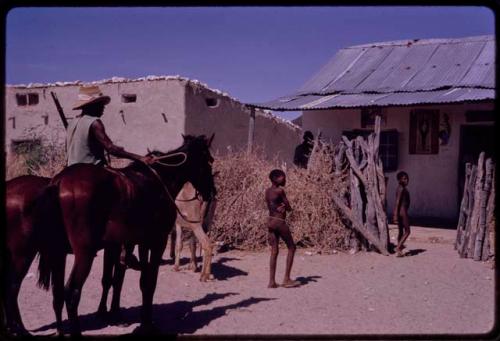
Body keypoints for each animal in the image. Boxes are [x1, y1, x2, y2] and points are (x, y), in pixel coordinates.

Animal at [35, 133, 215, 334]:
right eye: (209, 161)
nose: (211, 192)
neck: (161, 179)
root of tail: (58, 182)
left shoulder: (140, 243)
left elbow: (140, 282)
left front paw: (141, 319)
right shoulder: (157, 241)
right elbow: (149, 282)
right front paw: (146, 323)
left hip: (58, 252)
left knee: (58, 293)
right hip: (85, 253)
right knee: (72, 292)